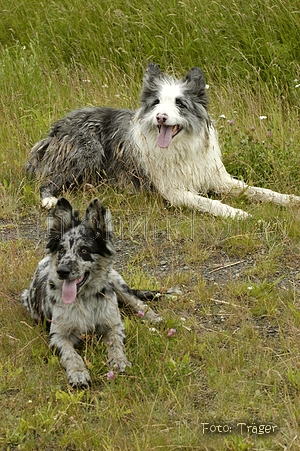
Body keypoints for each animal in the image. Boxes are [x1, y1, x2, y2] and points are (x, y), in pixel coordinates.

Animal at [22, 198, 162, 388]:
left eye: (84, 250)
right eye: (61, 250)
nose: (62, 271)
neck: (84, 299)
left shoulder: (113, 325)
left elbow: (116, 345)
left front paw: (119, 361)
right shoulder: (58, 336)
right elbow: (71, 355)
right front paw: (78, 373)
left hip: (116, 281)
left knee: (137, 302)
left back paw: (153, 317)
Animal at [25, 63, 300, 219]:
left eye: (180, 103)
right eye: (157, 102)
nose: (161, 116)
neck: (182, 147)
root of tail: (55, 128)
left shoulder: (218, 178)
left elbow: (259, 190)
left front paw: (290, 200)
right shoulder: (174, 192)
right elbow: (209, 202)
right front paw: (237, 213)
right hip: (87, 149)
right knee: (48, 182)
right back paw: (49, 199)